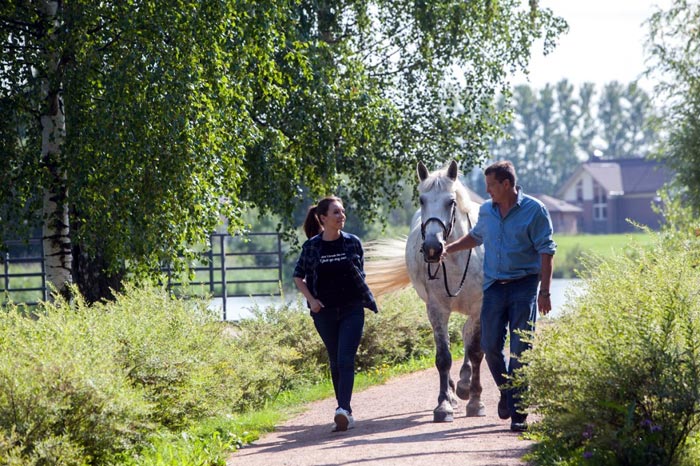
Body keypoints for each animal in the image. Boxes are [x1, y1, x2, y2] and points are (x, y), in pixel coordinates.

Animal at [366, 160, 486, 422]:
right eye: (422, 200)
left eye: (450, 201)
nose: (432, 247)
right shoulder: (436, 309)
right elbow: (443, 357)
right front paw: (444, 404)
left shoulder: (479, 308)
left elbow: (475, 352)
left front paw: (475, 402)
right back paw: (455, 389)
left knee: (467, 335)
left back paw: (465, 385)